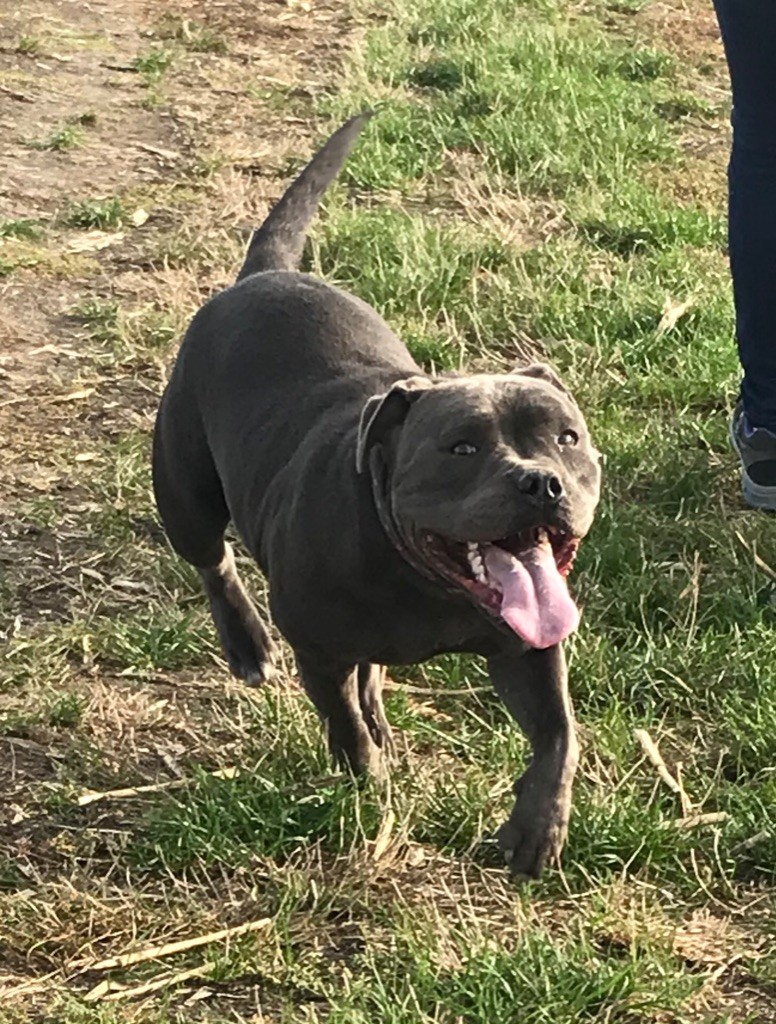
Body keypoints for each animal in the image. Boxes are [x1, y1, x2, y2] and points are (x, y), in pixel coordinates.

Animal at [151, 114, 601, 880]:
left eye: (566, 438)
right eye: (462, 448)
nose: (540, 479)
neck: (426, 581)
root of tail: (267, 274)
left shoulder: (530, 649)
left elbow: (559, 734)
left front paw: (537, 828)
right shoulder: (318, 648)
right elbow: (343, 725)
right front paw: (368, 786)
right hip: (185, 491)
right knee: (212, 560)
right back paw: (247, 643)